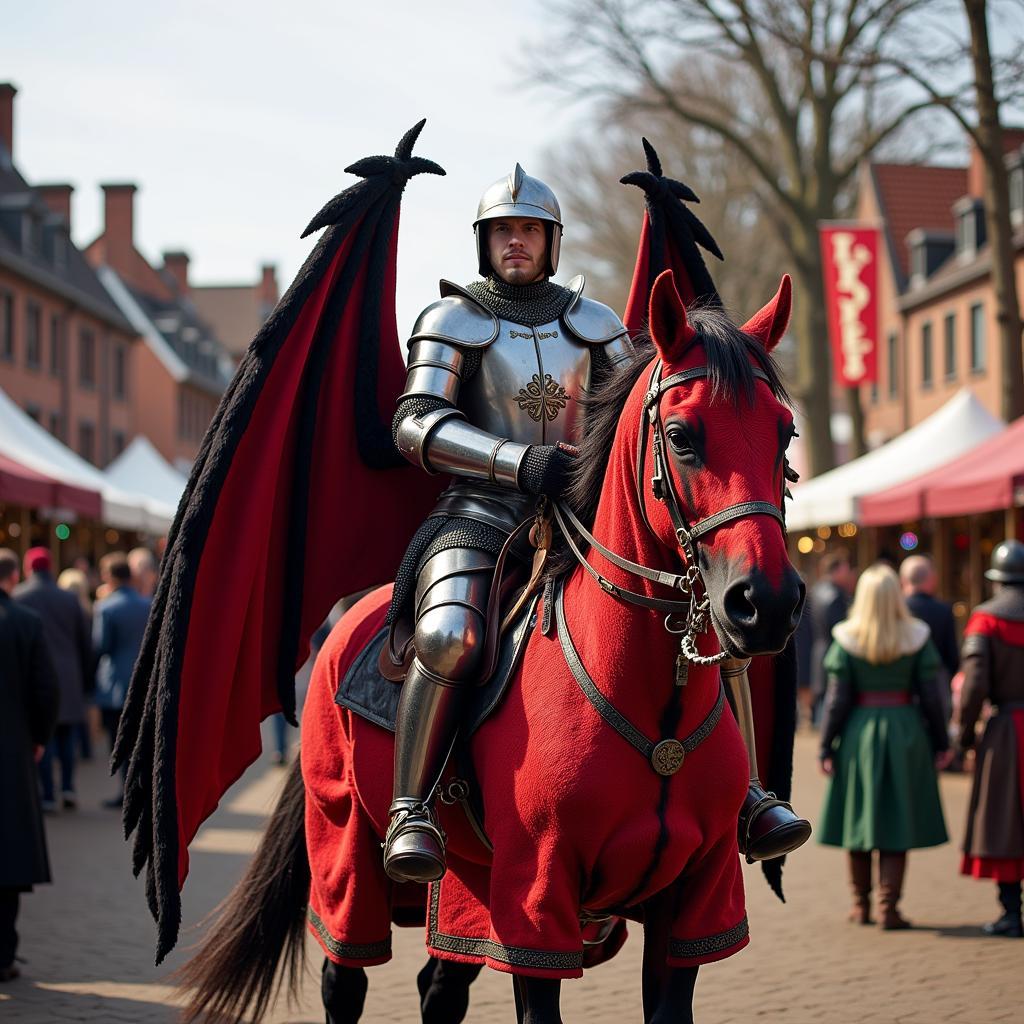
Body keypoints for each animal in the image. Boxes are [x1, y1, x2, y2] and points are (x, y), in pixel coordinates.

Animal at [180, 272, 802, 1024]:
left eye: (785, 432)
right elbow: (422, 421)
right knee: (345, 976)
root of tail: (343, 628)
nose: (765, 602)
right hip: (348, 856)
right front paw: (544, 466)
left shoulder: (692, 908)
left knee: (439, 988)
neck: (657, 717)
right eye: (681, 435)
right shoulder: (534, 903)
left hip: (462, 893)